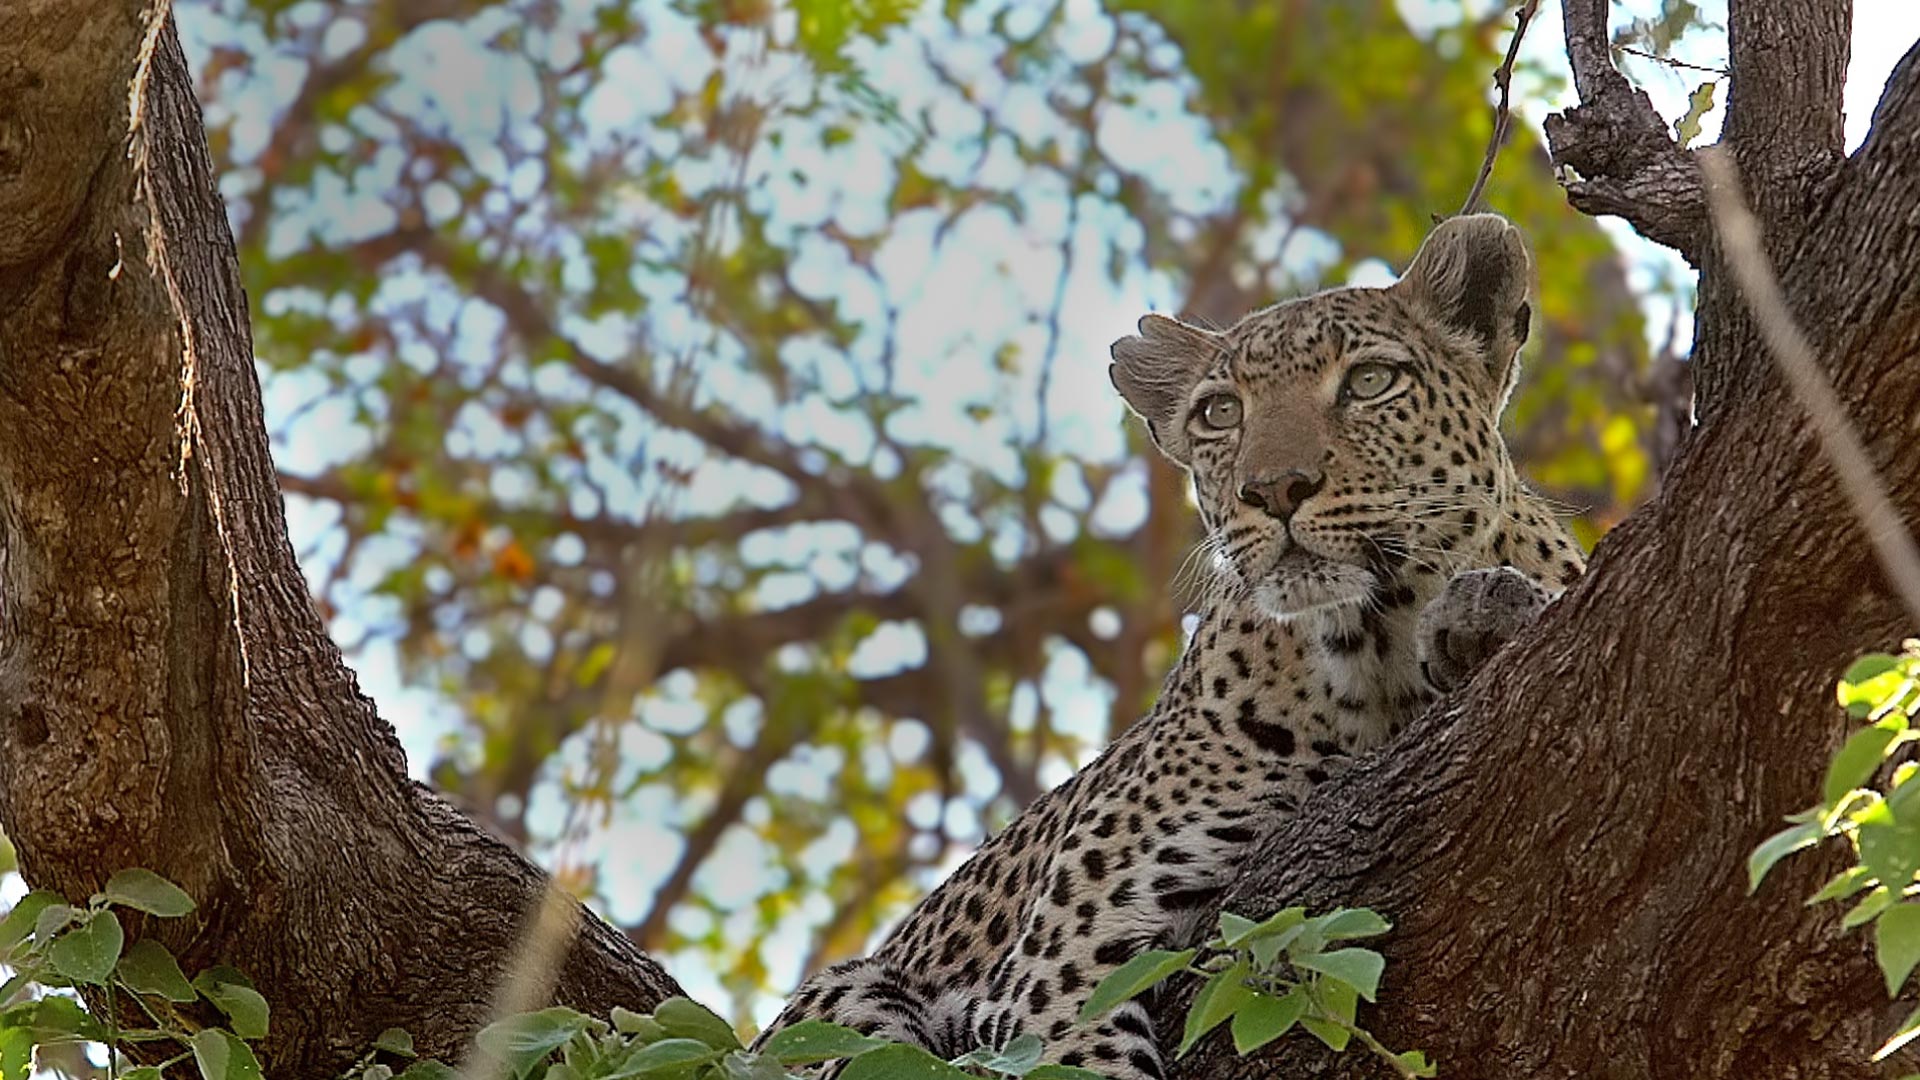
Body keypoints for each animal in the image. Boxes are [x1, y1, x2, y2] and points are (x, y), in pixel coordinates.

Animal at [748, 214, 1589, 1068]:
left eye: (1369, 382)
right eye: (1219, 414)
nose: (1273, 489)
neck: (1372, 651)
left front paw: (1482, 614)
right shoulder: (1063, 955)